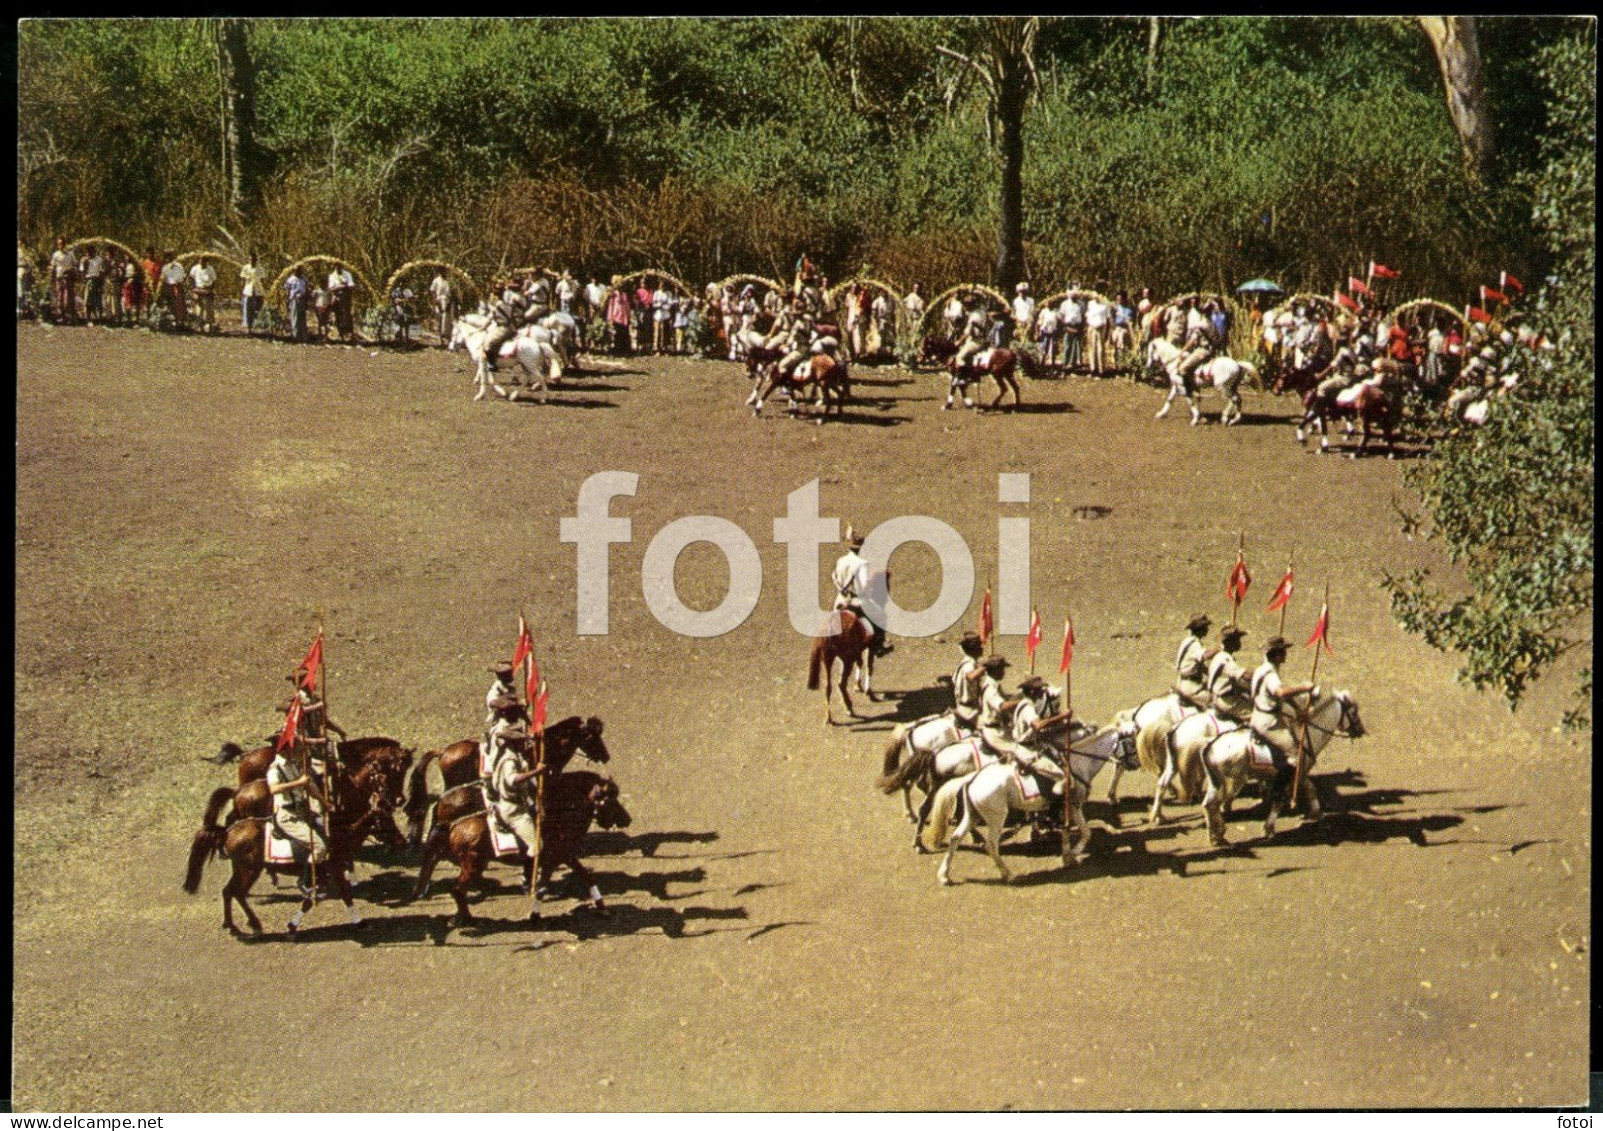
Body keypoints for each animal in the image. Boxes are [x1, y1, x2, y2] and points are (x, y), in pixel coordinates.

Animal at [181, 749, 413, 935]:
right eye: (387, 775)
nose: (400, 800)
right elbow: (338, 893)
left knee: (229, 891)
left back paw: (234, 922)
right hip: (248, 869)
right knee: (234, 891)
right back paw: (253, 920)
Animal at [407, 765, 631, 922]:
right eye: (610, 798)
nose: (627, 819)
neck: (557, 812)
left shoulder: (565, 855)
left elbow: (586, 876)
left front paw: (602, 906)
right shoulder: (555, 858)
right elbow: (543, 887)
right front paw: (534, 914)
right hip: (474, 864)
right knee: (457, 888)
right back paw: (466, 917)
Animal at [923, 724, 1147, 884]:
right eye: (1131, 743)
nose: (1136, 763)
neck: (1076, 764)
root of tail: (972, 778)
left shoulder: (1063, 809)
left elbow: (1069, 831)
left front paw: (1067, 856)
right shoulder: (1074, 805)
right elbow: (1086, 832)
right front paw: (1073, 854)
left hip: (973, 815)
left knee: (955, 838)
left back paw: (945, 875)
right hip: (996, 818)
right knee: (991, 844)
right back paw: (1007, 874)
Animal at [1205, 685, 1365, 845]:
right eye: (1353, 711)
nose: (1361, 731)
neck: (1306, 738)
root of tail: (1210, 747)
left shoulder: (1297, 775)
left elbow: (1310, 789)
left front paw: (1316, 813)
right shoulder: (1294, 774)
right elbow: (1283, 800)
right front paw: (1269, 829)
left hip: (1216, 783)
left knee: (1208, 804)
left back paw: (1215, 835)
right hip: (1234, 782)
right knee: (1214, 804)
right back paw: (1219, 835)